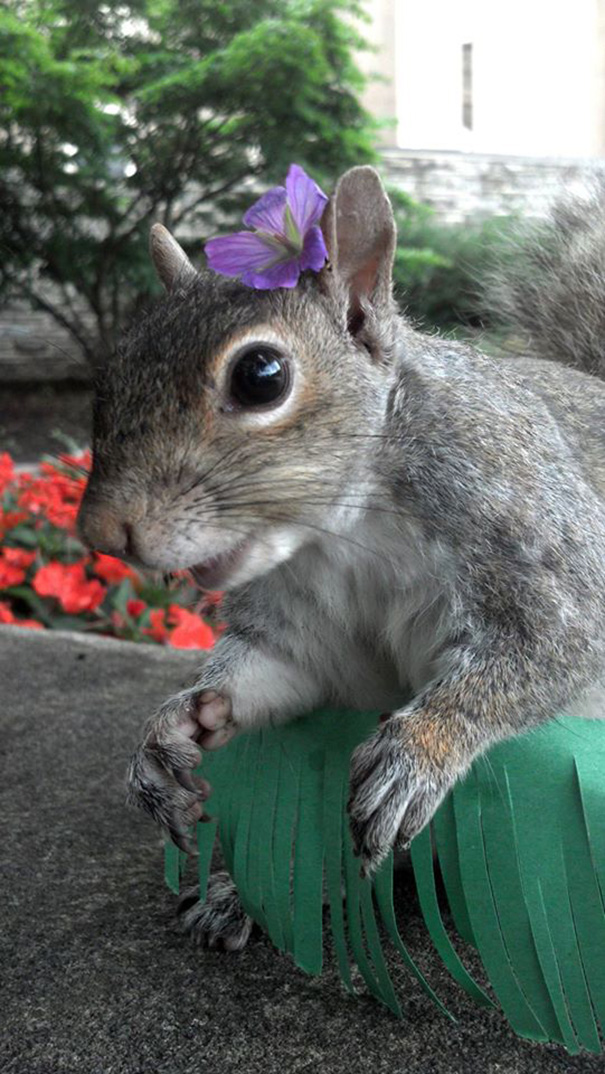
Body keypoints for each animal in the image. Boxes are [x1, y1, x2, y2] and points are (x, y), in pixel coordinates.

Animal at [78, 166, 605, 951]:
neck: (345, 534)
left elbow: (546, 650)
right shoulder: (302, 629)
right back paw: (249, 895)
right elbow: (274, 671)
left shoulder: (539, 544)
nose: (100, 532)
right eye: (110, 374)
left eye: (261, 374)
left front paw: (418, 749)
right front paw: (174, 727)